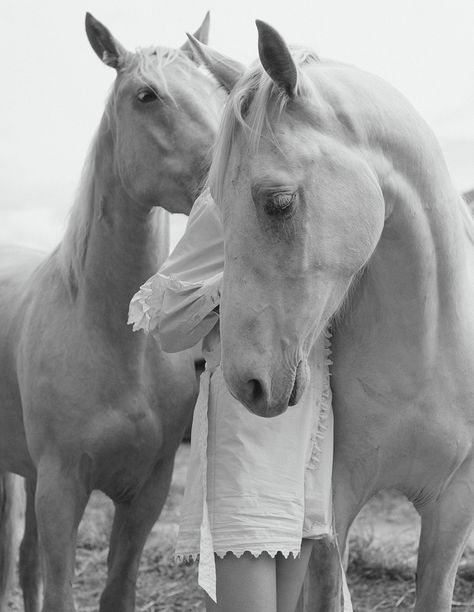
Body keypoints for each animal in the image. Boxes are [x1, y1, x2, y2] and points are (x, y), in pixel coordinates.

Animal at [0, 14, 225, 612]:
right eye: (147, 95)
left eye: (218, 90)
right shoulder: (62, 488)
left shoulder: (145, 491)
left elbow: (115, 591)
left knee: (25, 562)